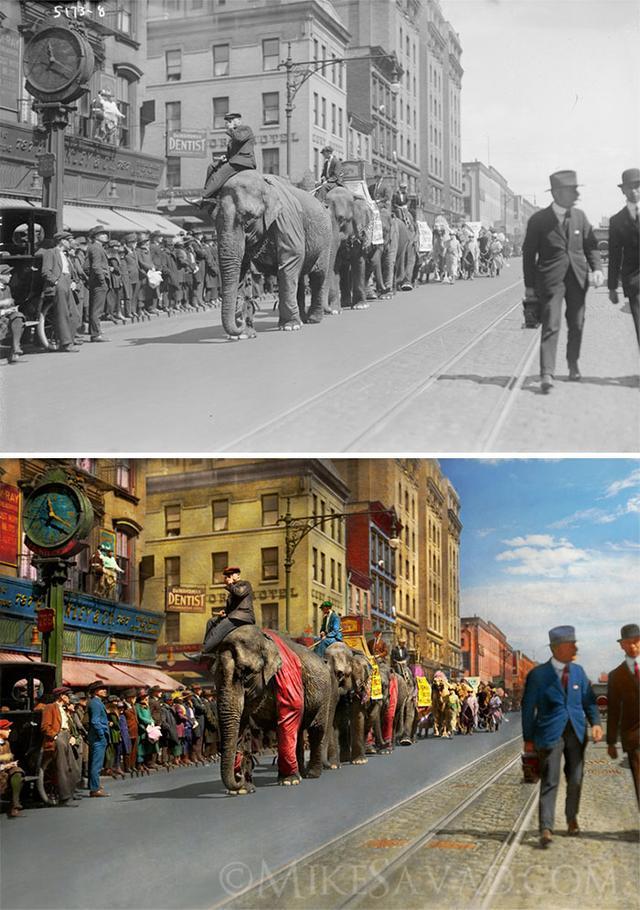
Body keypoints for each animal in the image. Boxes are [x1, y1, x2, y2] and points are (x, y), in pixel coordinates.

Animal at [214, 628, 338, 800]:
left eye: (245, 674)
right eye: (216, 675)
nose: (239, 777)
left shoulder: (287, 679)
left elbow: (288, 718)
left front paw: (288, 781)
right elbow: (240, 726)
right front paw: (242, 790)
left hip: (325, 694)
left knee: (316, 729)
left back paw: (311, 775)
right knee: (299, 733)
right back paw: (301, 774)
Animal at [216, 171, 332, 338]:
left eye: (248, 219)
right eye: (216, 222)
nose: (241, 322)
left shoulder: (286, 220)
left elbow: (291, 258)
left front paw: (290, 327)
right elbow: (241, 270)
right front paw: (243, 334)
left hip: (326, 238)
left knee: (318, 275)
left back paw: (312, 319)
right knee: (300, 278)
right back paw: (302, 319)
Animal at [324, 640, 370, 768]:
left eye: (341, 674)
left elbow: (357, 715)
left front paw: (359, 761)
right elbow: (332, 719)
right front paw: (334, 766)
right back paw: (343, 760)